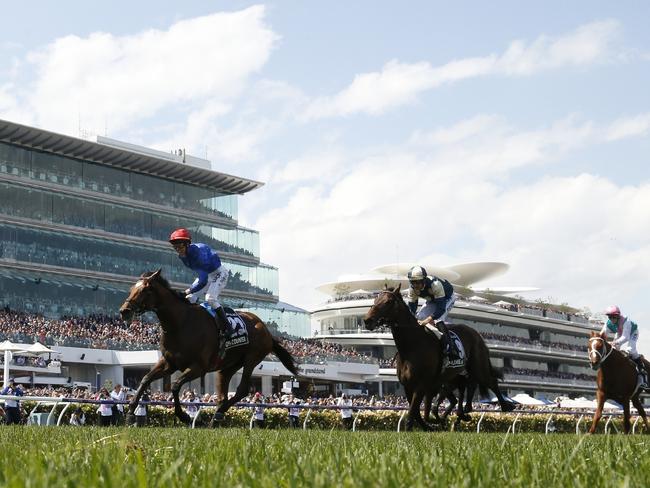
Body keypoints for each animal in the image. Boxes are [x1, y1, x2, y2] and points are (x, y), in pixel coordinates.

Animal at [117, 268, 298, 426]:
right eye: (131, 288)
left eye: (144, 290)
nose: (124, 311)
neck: (180, 323)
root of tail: (265, 329)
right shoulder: (169, 363)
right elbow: (145, 379)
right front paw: (130, 413)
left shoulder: (199, 367)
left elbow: (175, 385)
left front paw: (184, 416)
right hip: (227, 366)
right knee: (223, 394)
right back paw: (216, 417)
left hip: (251, 359)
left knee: (242, 390)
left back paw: (216, 415)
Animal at [364, 286, 512, 430]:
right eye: (375, 299)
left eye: (388, 302)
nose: (367, 320)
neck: (412, 345)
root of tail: (477, 334)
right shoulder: (409, 386)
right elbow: (417, 412)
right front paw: (431, 425)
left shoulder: (421, 385)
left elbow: (414, 412)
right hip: (456, 376)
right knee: (467, 387)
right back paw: (463, 413)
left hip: (478, 367)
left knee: (491, 381)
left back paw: (506, 406)